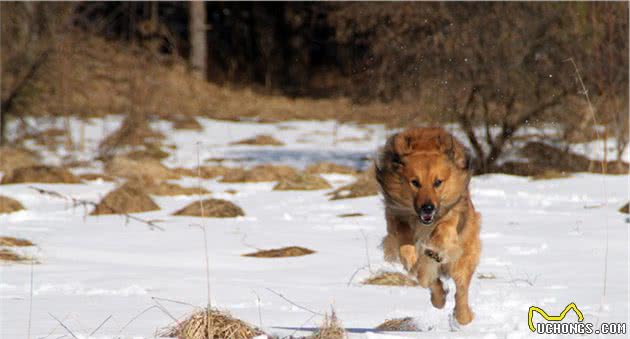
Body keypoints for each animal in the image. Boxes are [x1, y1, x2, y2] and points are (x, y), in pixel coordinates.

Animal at [378, 128, 482, 326]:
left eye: (438, 182)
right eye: (415, 182)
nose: (428, 208)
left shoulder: (454, 210)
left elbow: (444, 227)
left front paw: (435, 247)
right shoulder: (395, 215)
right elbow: (404, 238)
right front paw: (410, 255)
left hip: (464, 255)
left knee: (461, 288)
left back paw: (462, 316)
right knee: (427, 278)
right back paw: (438, 296)